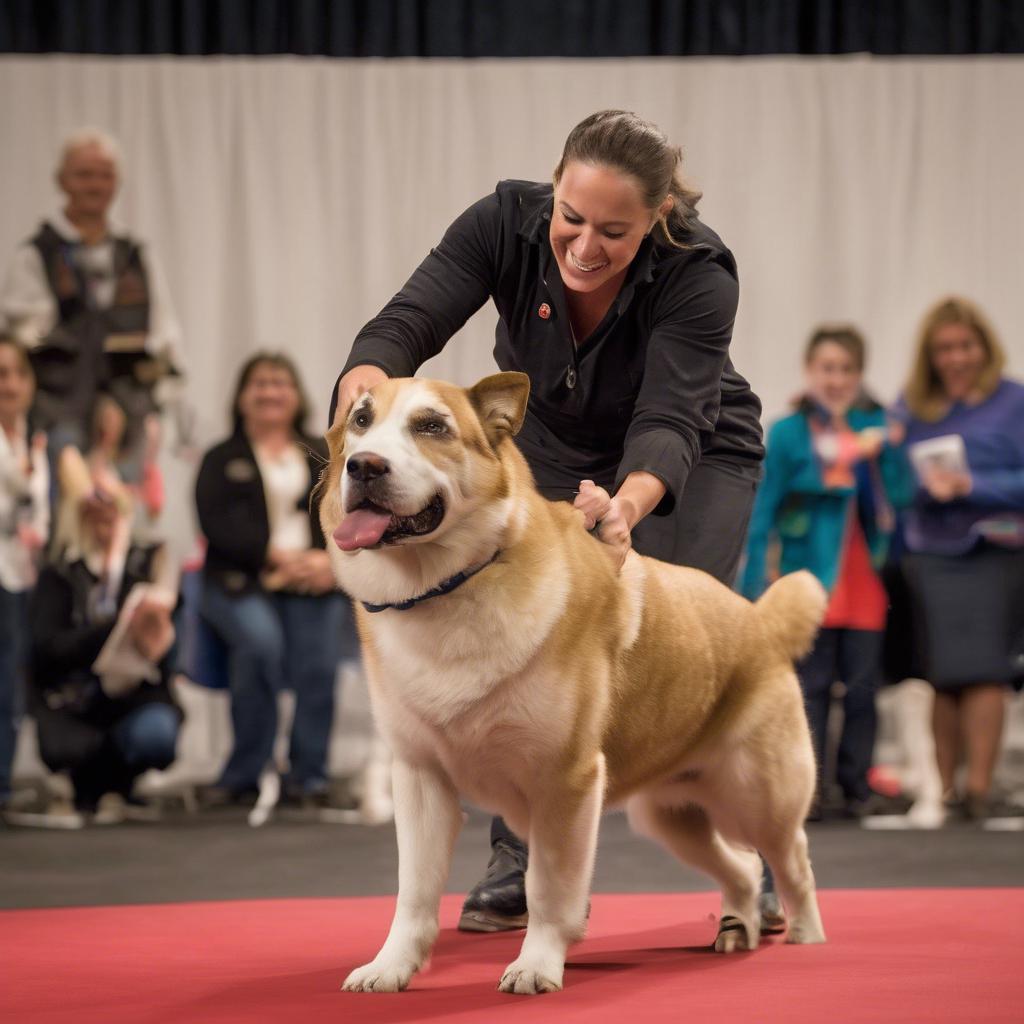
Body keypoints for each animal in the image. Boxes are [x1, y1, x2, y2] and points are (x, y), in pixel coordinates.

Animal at [321, 372, 831, 995]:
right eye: (360, 421)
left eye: (432, 426)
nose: (365, 466)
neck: (456, 584)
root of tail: (759, 620)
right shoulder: (419, 777)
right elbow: (414, 893)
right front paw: (391, 966)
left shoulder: (565, 781)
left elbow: (549, 889)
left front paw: (537, 965)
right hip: (670, 814)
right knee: (742, 864)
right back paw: (737, 929)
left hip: (759, 795)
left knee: (793, 859)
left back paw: (805, 936)